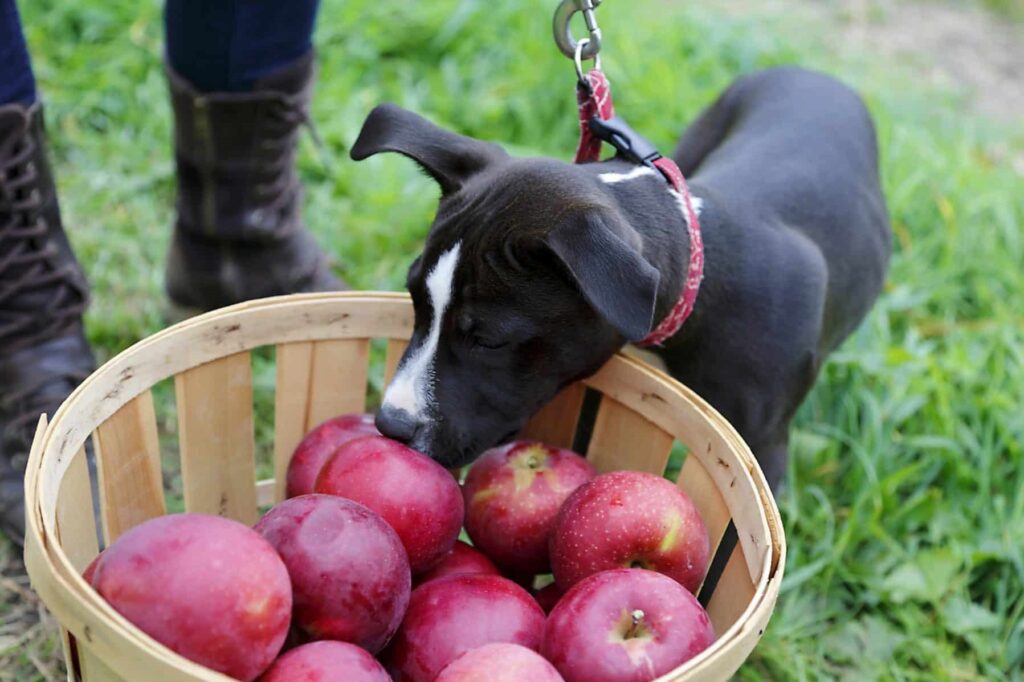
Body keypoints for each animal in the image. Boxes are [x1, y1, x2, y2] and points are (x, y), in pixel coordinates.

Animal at [352, 66, 888, 485]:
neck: (701, 274)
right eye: (415, 303)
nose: (391, 425)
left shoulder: (764, 449)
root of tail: (816, 74)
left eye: (489, 340)